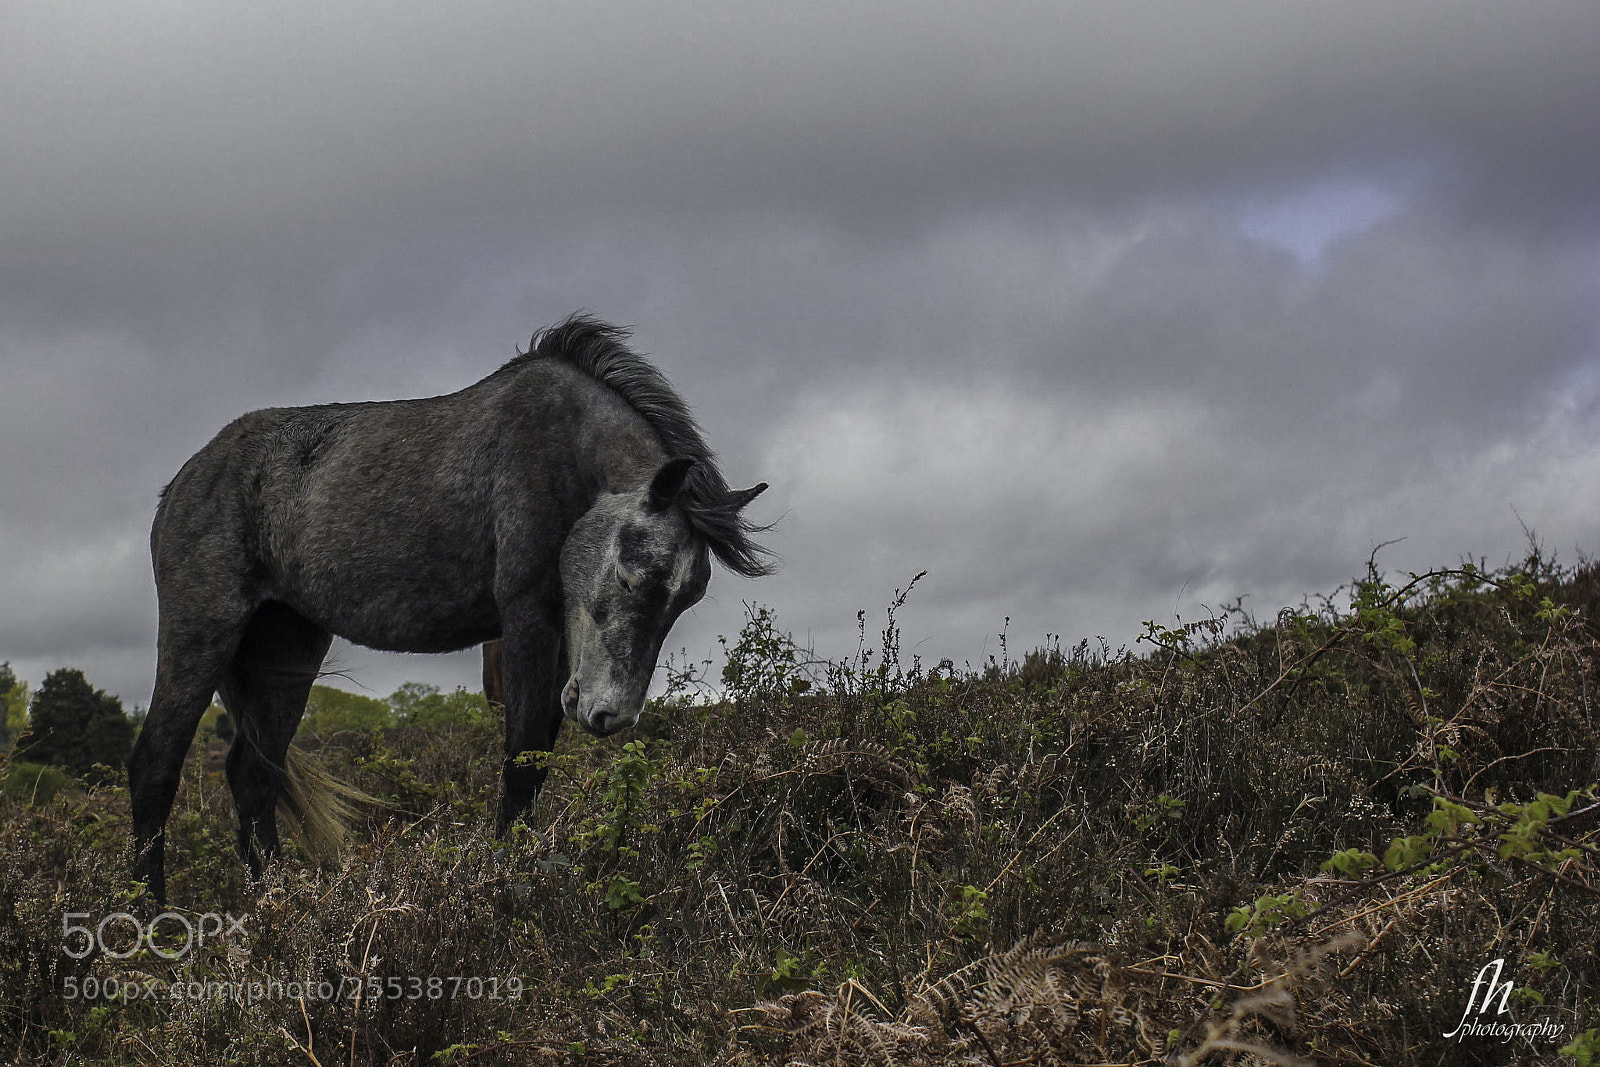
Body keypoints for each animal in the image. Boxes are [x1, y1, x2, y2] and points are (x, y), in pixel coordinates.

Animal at [128, 315, 771, 903]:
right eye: (632, 575)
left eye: (687, 598)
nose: (610, 715)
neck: (563, 450)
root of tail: (183, 481)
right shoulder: (528, 621)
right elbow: (523, 760)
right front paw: (507, 889)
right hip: (202, 632)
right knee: (155, 765)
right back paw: (148, 914)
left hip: (287, 648)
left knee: (254, 774)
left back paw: (277, 906)